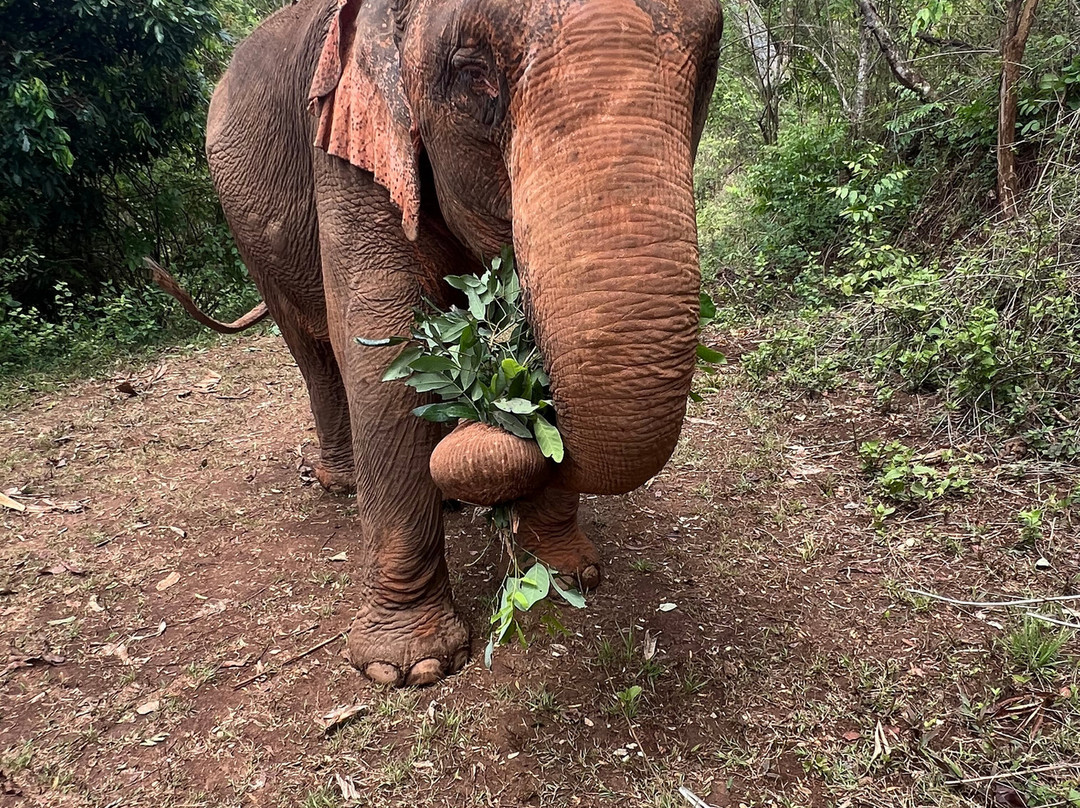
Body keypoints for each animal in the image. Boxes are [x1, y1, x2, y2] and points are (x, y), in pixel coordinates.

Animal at [151, 0, 723, 687]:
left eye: (711, 62)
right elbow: (380, 349)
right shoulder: (345, 145)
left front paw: (571, 573)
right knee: (314, 351)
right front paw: (409, 667)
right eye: (472, 73)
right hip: (250, 234)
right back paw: (344, 483)